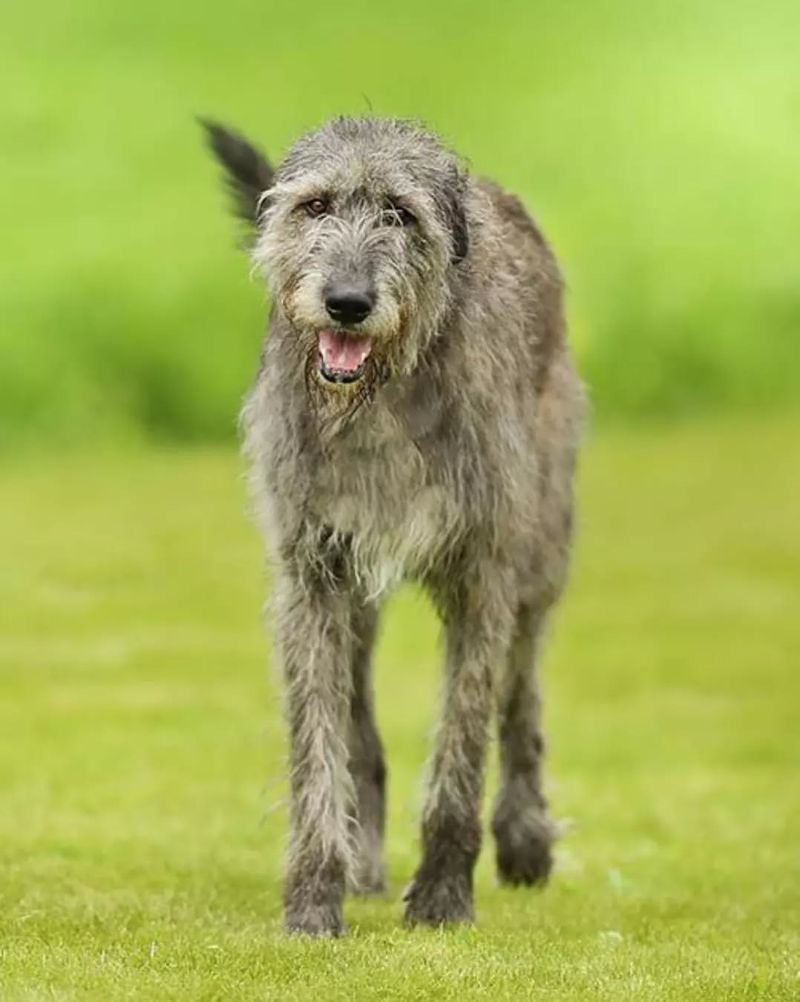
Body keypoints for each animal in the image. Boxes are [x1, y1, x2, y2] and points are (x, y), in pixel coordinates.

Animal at [203, 117, 585, 937]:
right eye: (315, 206)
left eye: (401, 215)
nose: (346, 302)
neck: (379, 394)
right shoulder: (313, 574)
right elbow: (318, 744)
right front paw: (315, 898)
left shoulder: (483, 572)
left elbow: (464, 740)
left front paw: (442, 896)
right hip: (359, 603)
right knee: (362, 733)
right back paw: (363, 862)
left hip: (542, 543)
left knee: (522, 695)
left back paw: (525, 837)